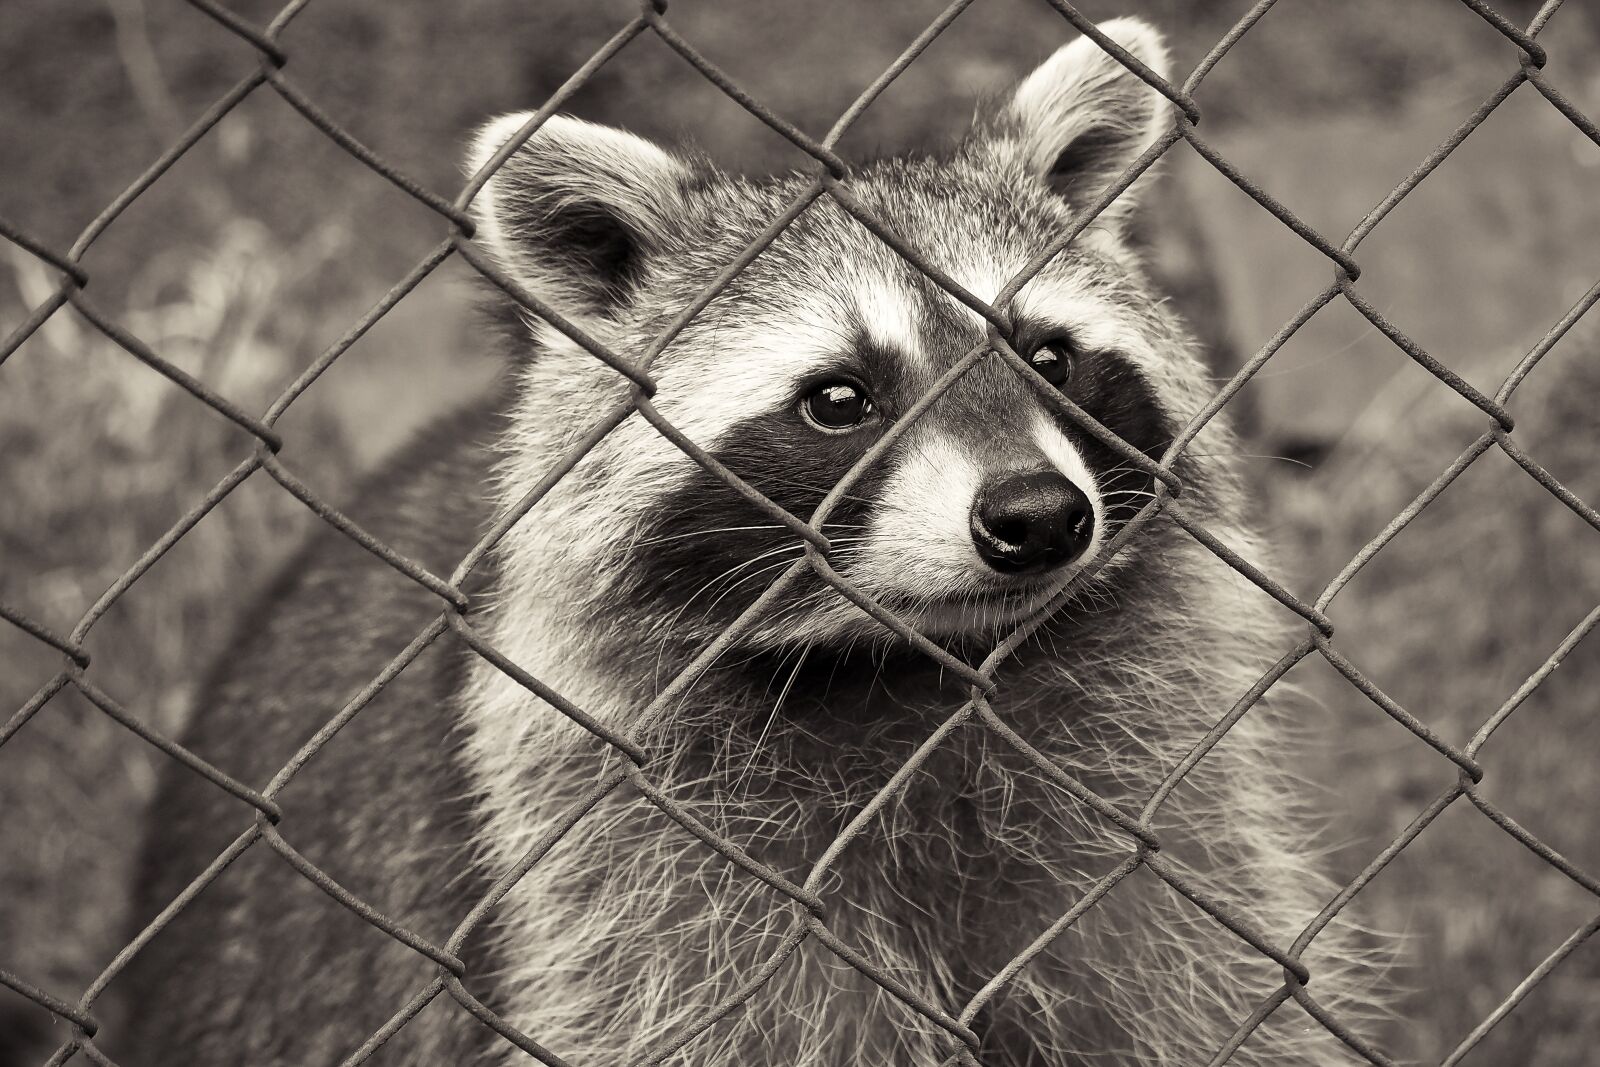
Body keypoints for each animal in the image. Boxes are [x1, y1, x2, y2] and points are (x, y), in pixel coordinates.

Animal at [111, 17, 1370, 1067]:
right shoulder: (636, 879)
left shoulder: (1147, 811)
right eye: (840, 399)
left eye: (1050, 357)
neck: (915, 672)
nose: (1036, 517)